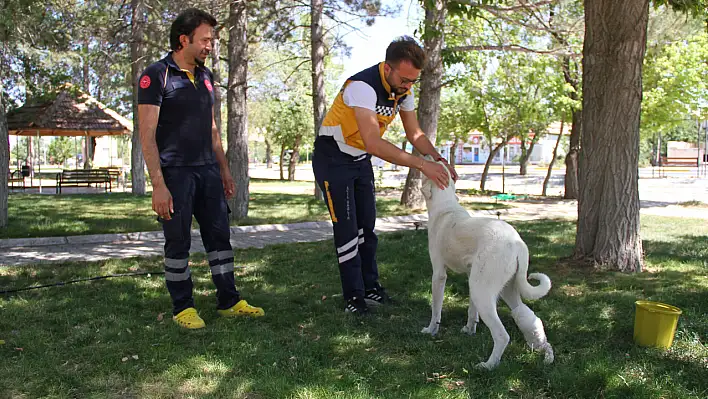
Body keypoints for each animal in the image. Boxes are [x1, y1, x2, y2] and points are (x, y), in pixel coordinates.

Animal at [420, 158, 552, 370]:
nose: (434, 157)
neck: (445, 205)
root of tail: (517, 242)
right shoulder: (470, 274)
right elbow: (471, 311)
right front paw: (469, 330)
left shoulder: (439, 274)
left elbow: (436, 308)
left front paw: (431, 330)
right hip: (504, 288)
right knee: (530, 318)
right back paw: (545, 353)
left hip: (482, 290)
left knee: (502, 335)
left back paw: (488, 365)